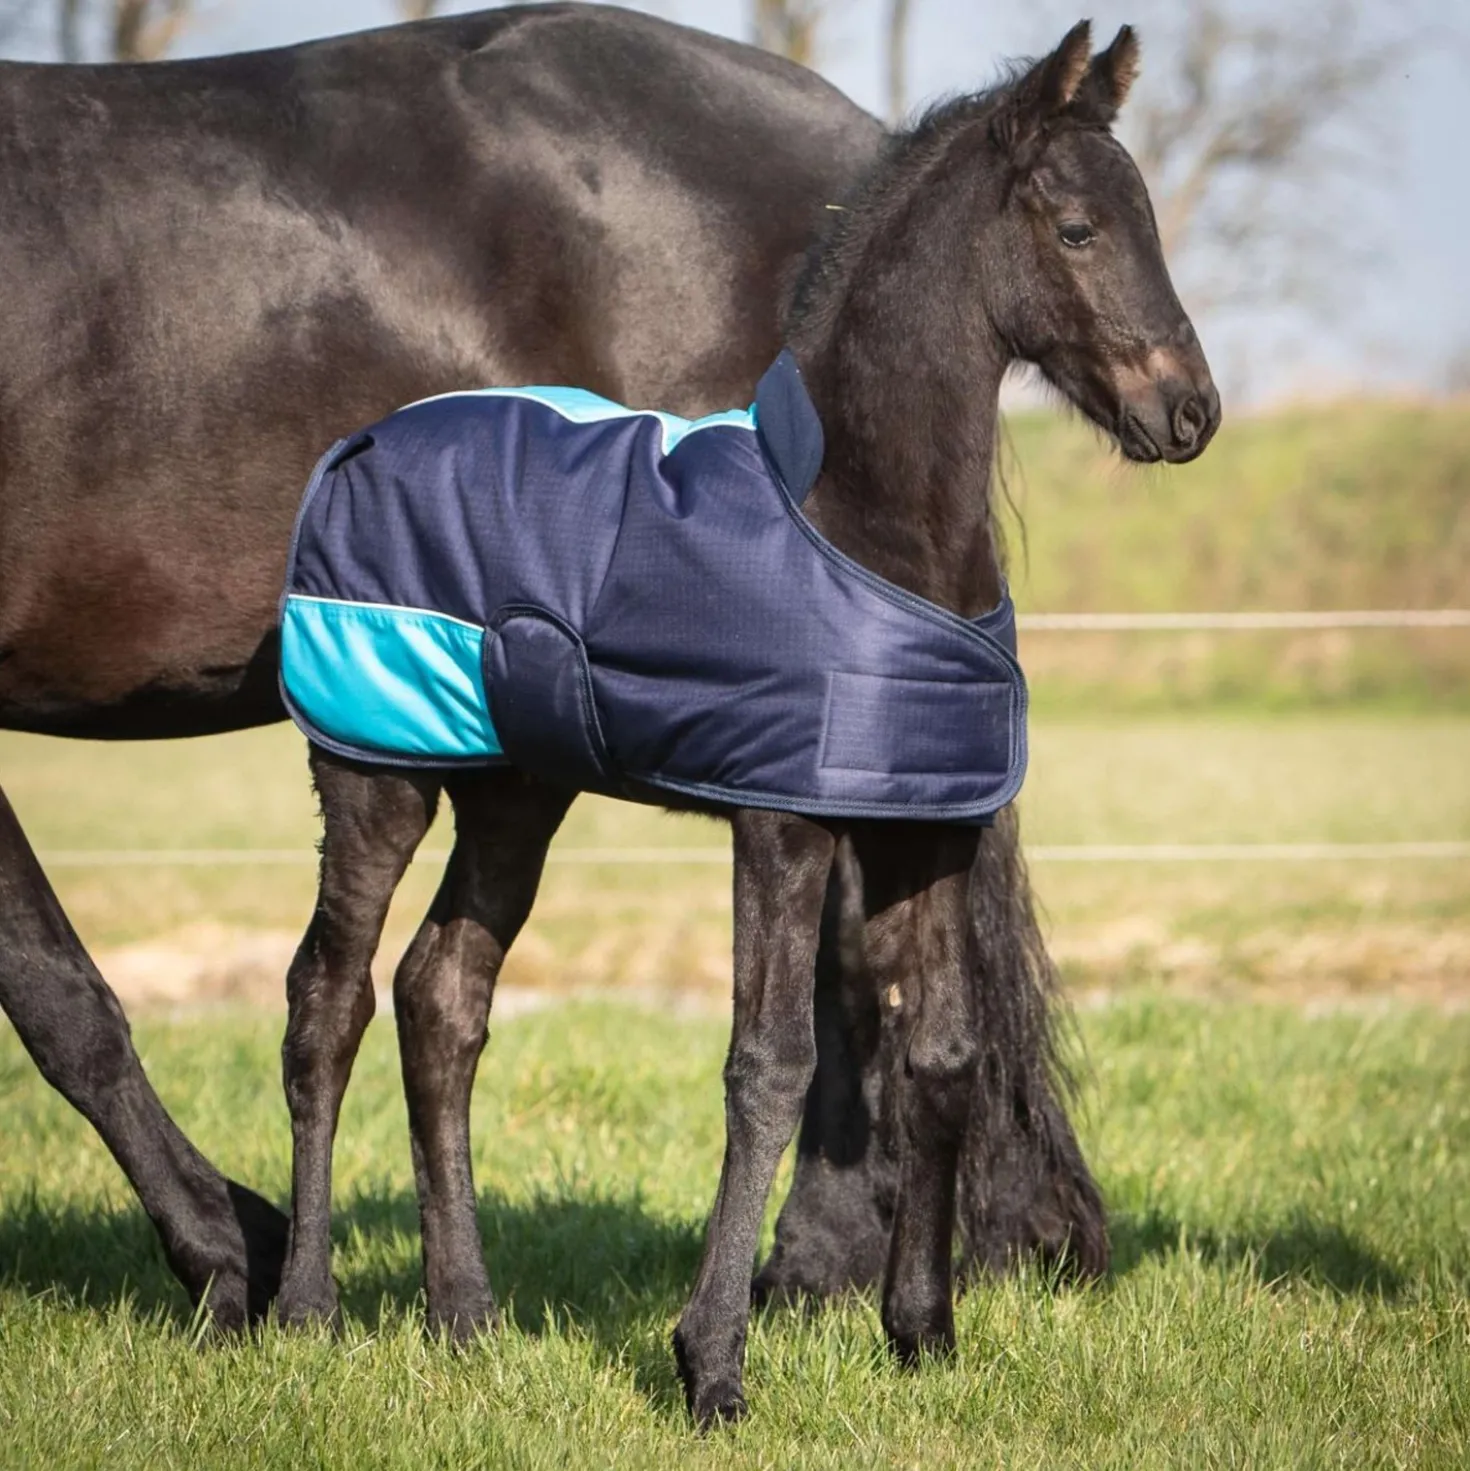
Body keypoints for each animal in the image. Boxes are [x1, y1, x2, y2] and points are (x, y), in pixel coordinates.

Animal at [0, 5, 1103, 1333]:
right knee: (410, 990)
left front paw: (229, 1249)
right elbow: (63, 985)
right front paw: (247, 1250)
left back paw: (795, 1266)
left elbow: (57, 992)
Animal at [277, 21, 1219, 1424]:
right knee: (326, 997)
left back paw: (466, 1321)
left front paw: (922, 1334)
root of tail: (358, 448)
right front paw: (711, 1364)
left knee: (441, 994)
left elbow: (940, 1057)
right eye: (1077, 228)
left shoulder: (924, 826)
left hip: (516, 791)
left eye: (1146, 220)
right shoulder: (782, 822)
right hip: (374, 765)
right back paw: (302, 1310)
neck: (858, 522)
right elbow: (767, 1064)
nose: (1190, 412)